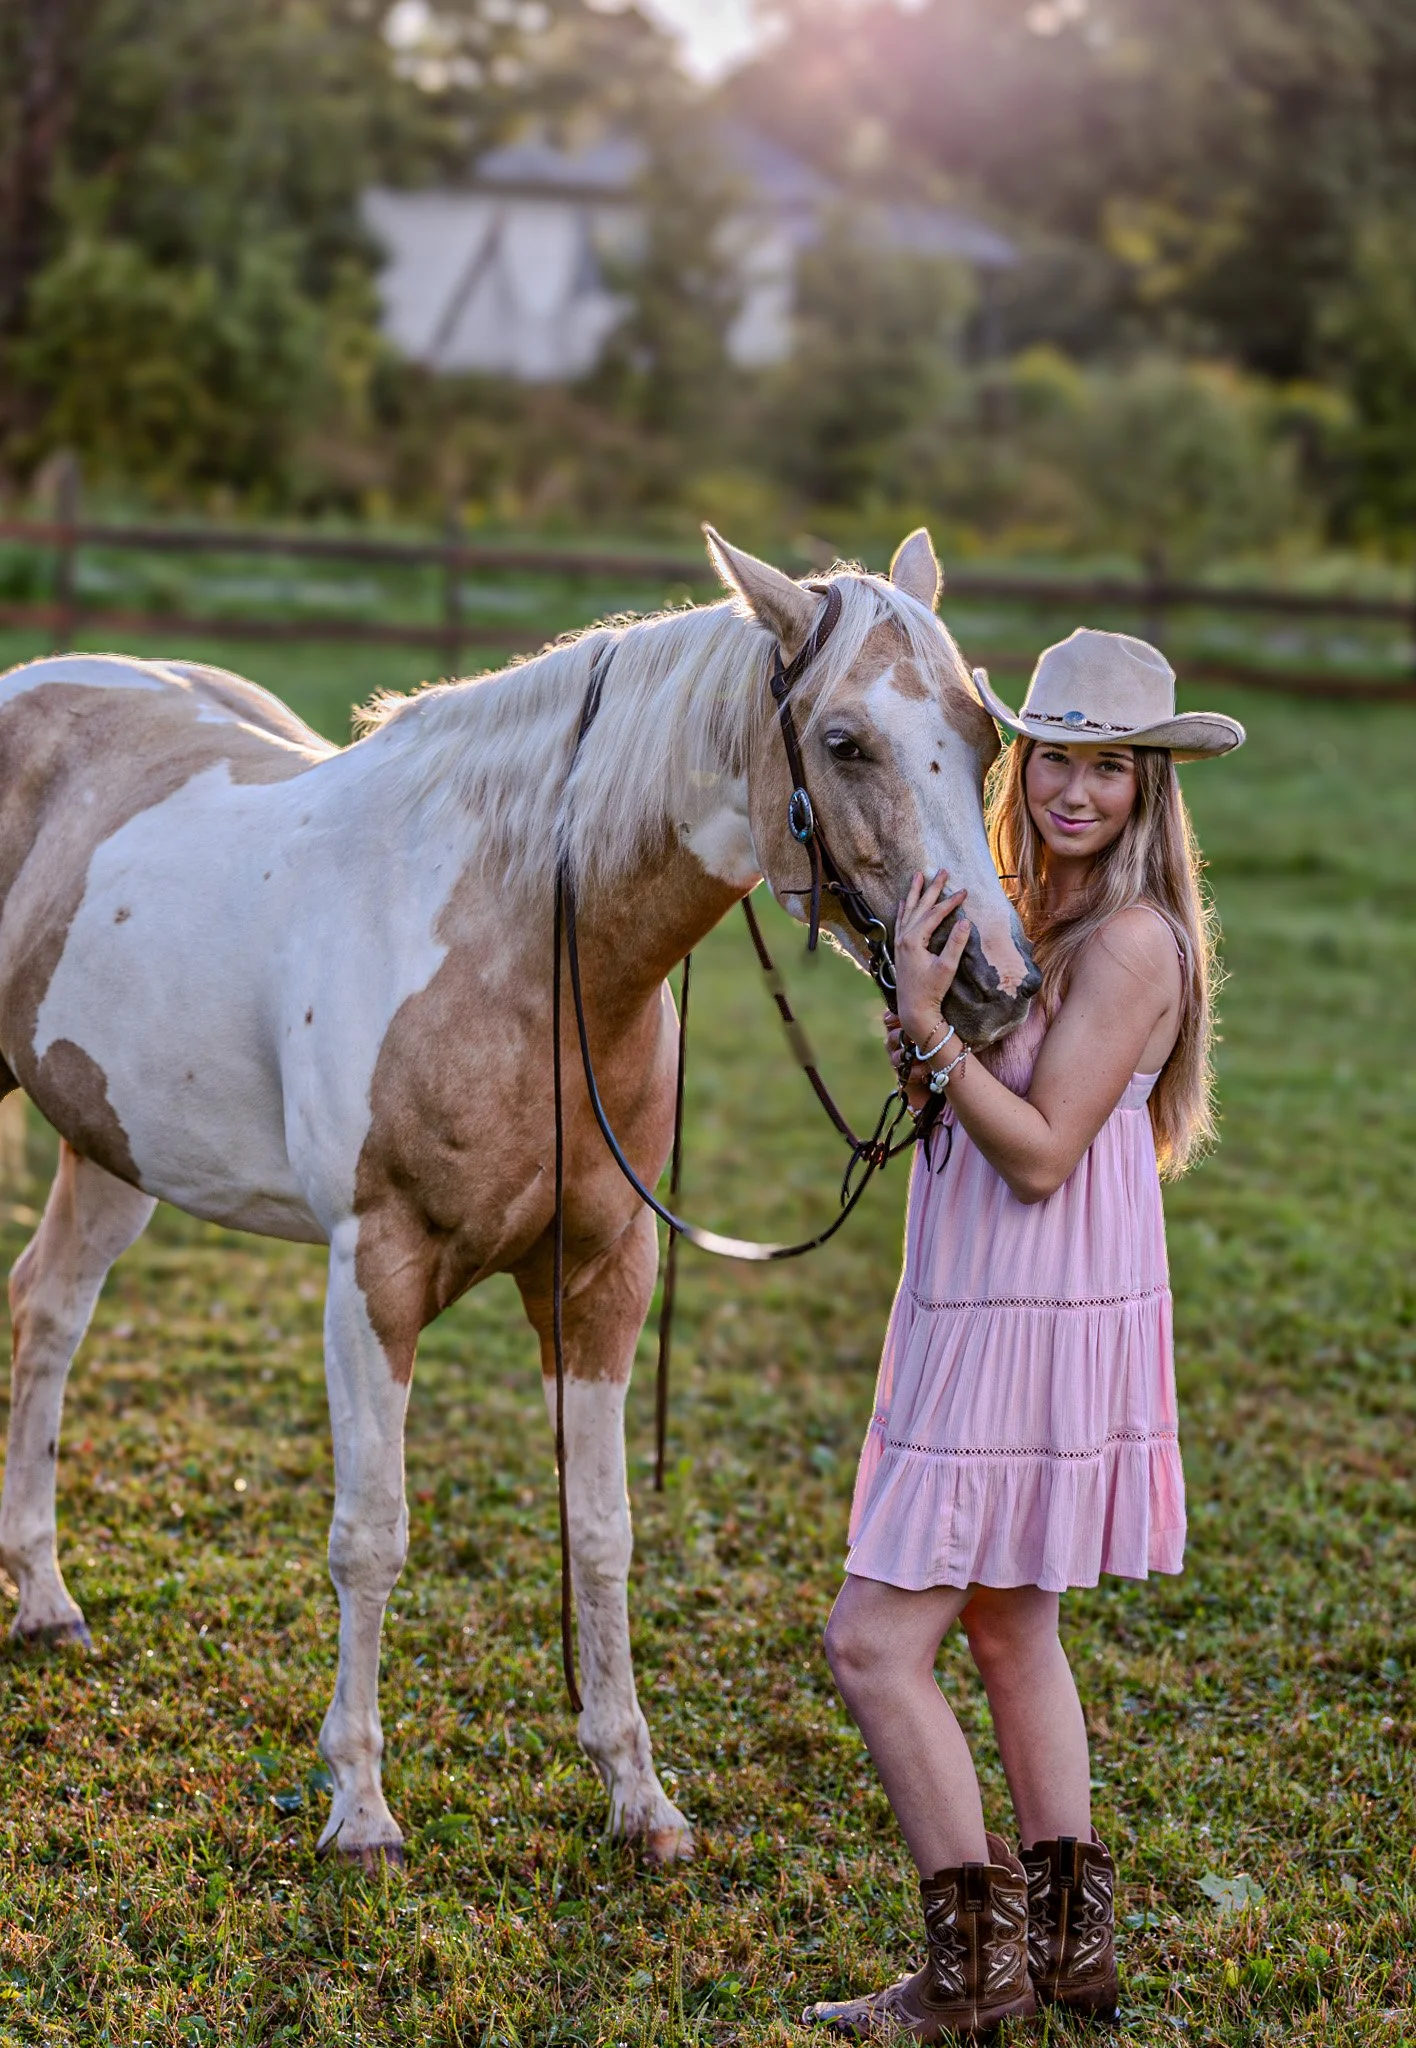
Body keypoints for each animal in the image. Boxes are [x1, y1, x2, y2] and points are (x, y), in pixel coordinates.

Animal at [0, 525, 1038, 1869]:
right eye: (847, 739)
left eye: (981, 734)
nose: (994, 981)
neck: (517, 943)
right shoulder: (374, 1270)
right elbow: (372, 1532)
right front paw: (361, 1808)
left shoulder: (598, 1275)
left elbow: (601, 1532)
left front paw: (638, 1795)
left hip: (114, 1143)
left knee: (50, 1311)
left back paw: (46, 1597)